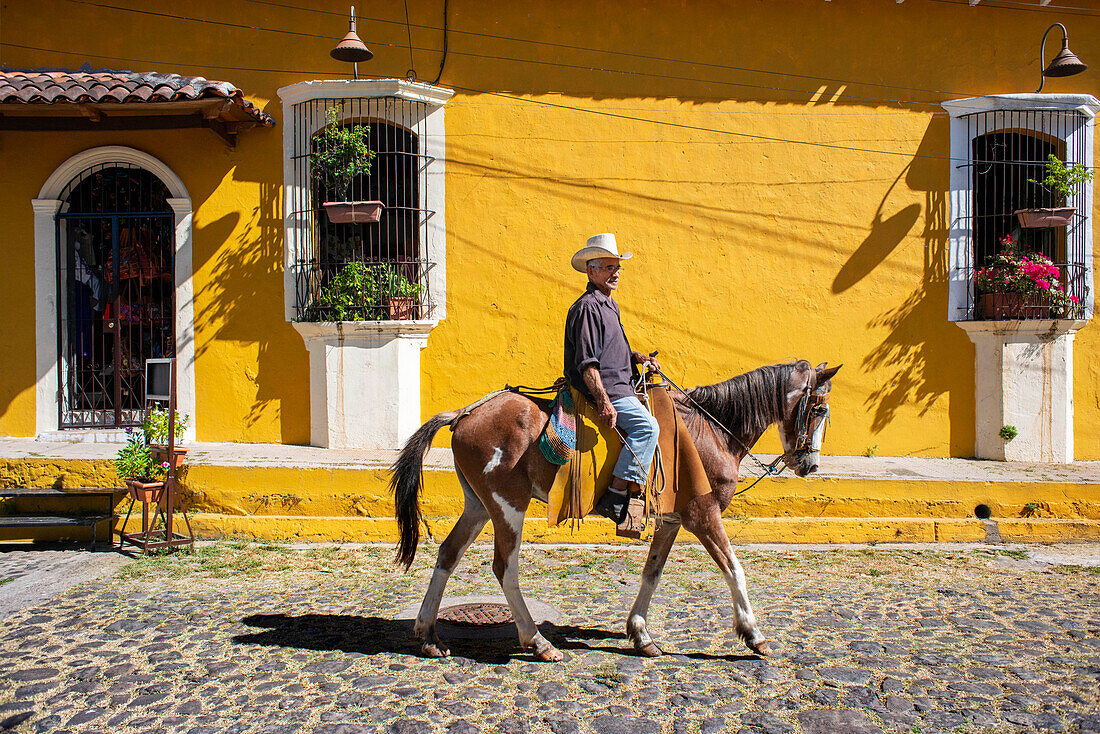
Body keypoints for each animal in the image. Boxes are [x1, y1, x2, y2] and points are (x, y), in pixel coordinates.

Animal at [391, 360, 836, 660]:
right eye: (818, 409)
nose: (810, 465)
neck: (710, 431)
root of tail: (464, 414)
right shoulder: (703, 514)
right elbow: (734, 569)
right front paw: (753, 633)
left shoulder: (671, 521)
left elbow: (652, 573)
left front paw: (640, 633)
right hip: (507, 507)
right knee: (505, 568)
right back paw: (536, 641)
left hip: (478, 506)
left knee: (448, 554)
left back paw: (428, 635)